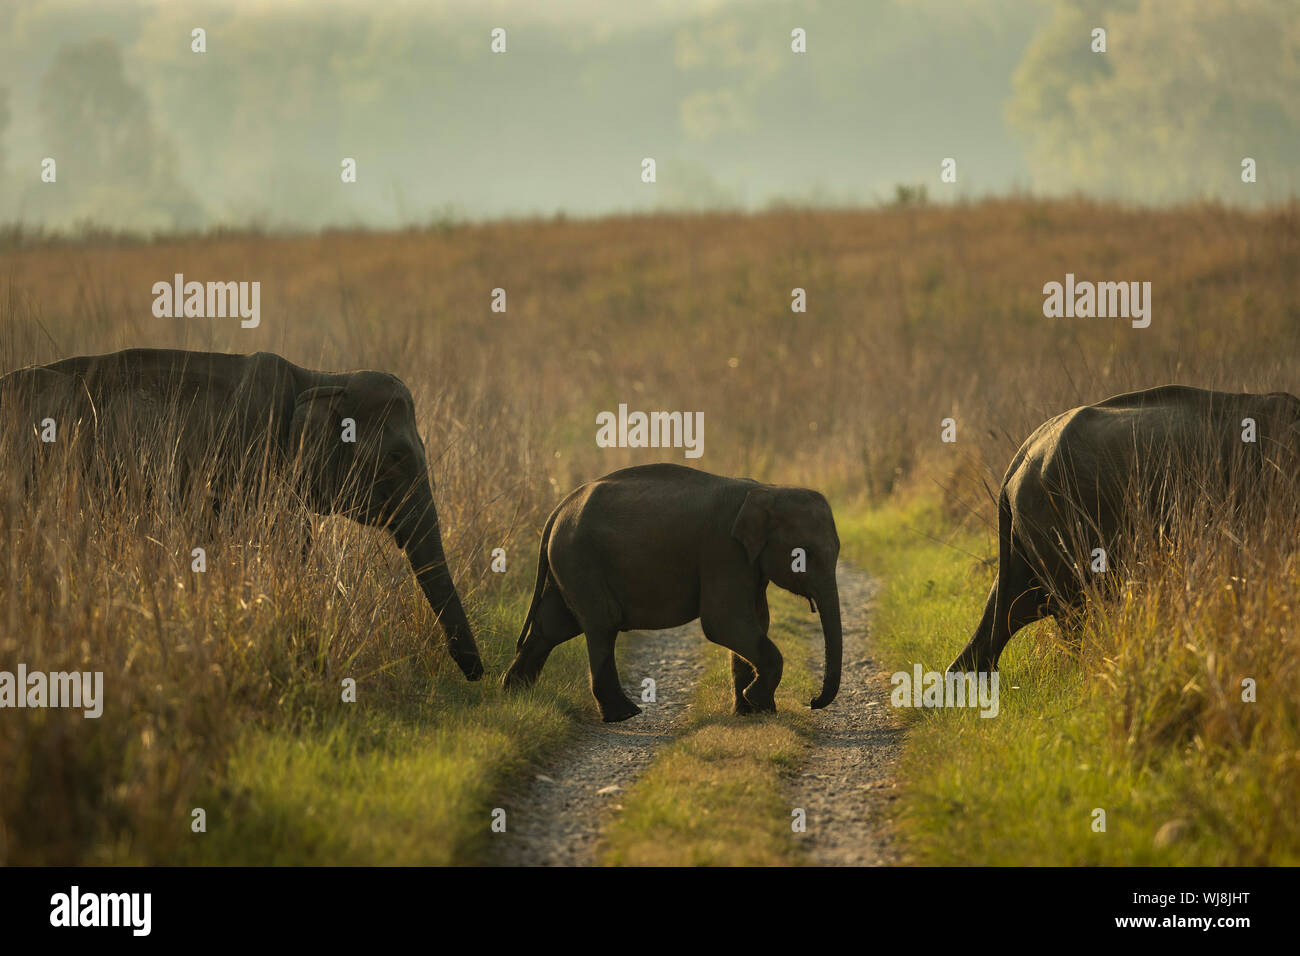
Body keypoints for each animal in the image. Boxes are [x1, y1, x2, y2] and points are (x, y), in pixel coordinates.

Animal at [496, 468, 842, 723]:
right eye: (803, 555)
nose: (812, 700)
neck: (767, 490)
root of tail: (557, 511)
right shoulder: (723, 552)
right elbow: (724, 623)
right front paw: (756, 702)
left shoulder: (748, 563)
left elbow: (755, 621)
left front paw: (753, 712)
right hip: (580, 559)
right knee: (601, 624)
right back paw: (624, 715)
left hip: (568, 565)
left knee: (552, 625)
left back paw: (513, 694)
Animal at [946, 382, 1300, 671]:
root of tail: (1015, 465)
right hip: (1056, 521)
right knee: (1068, 609)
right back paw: (1081, 671)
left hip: (1025, 539)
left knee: (1008, 610)